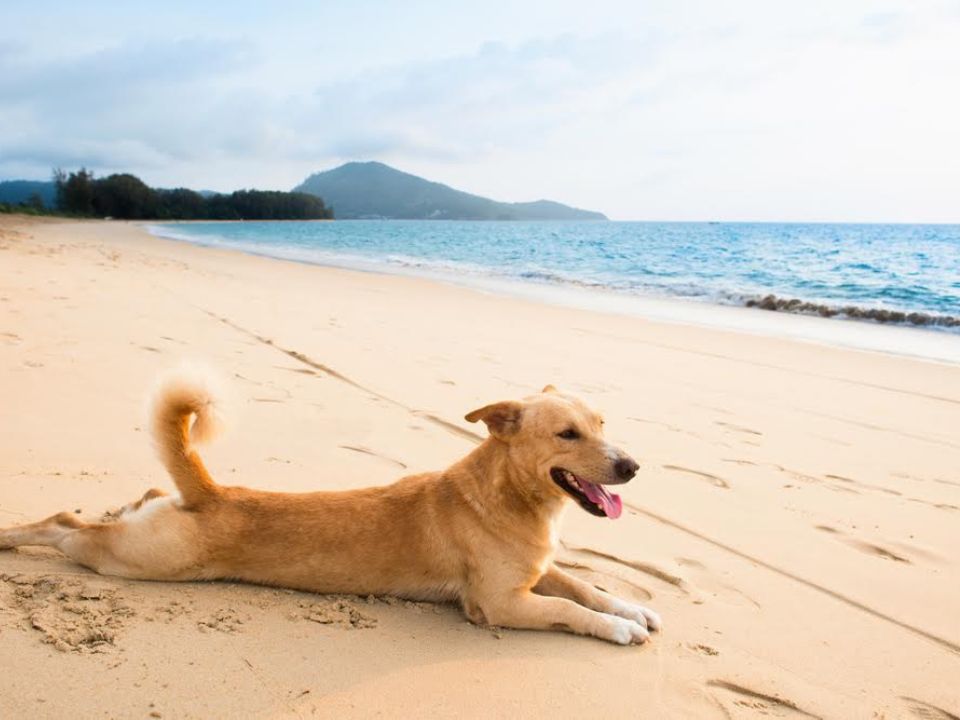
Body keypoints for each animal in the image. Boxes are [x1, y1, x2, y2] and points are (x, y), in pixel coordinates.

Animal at [0, 374, 660, 644]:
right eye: (568, 434)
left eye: (603, 424)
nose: (632, 466)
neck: (508, 495)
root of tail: (208, 492)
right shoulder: (500, 604)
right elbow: (568, 610)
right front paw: (619, 628)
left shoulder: (539, 570)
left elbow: (586, 588)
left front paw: (631, 608)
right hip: (133, 560)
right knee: (64, 526)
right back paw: (11, 537)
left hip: (146, 529)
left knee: (131, 502)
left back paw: (133, 498)